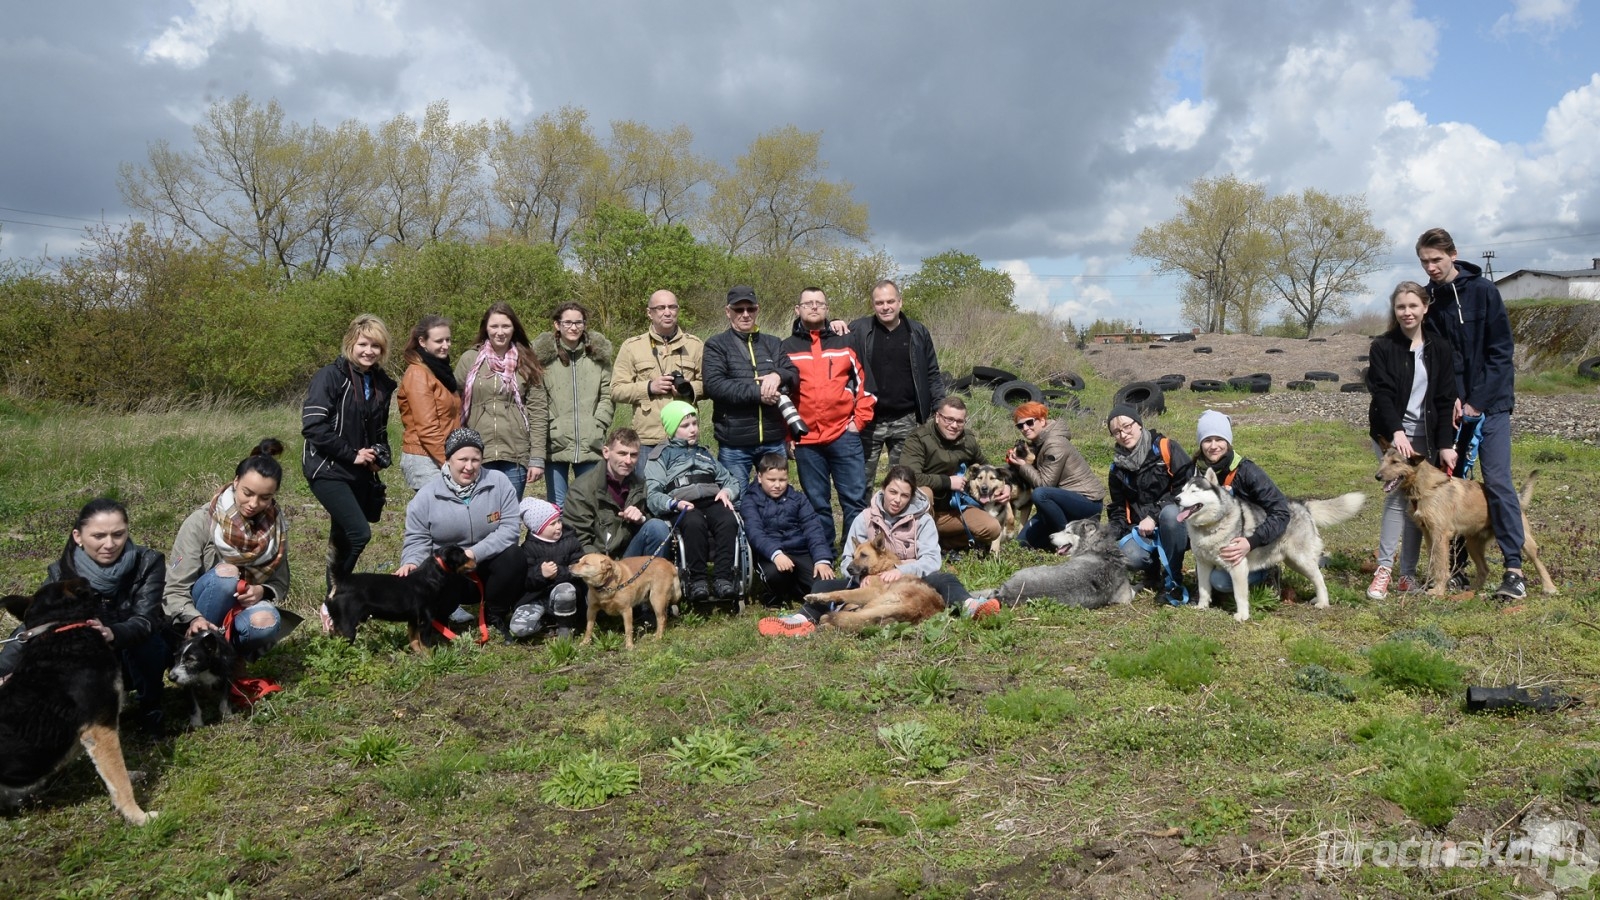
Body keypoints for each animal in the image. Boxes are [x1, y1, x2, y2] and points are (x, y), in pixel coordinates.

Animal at [806, 531, 940, 630]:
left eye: (863, 555)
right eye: (853, 556)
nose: (848, 569)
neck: (883, 567)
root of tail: (915, 609)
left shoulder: (869, 592)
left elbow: (841, 593)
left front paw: (817, 597)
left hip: (873, 603)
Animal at [966, 515, 1132, 605]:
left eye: (1068, 531)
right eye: (1064, 528)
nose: (1049, 537)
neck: (1099, 548)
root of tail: (1005, 593)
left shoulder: (1126, 596)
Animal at [1177, 464, 1363, 621]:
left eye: (1194, 491)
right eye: (1182, 490)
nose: (1176, 498)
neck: (1210, 527)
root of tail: (1302, 505)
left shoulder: (1238, 567)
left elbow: (1240, 595)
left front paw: (1243, 615)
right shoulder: (1203, 564)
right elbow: (1203, 589)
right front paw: (1202, 607)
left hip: (1301, 559)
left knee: (1319, 578)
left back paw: (1323, 602)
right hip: (1294, 561)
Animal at [1369, 445, 1555, 595]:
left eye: (1395, 462)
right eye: (1383, 461)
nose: (1377, 476)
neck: (1425, 487)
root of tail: (1516, 498)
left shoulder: (1440, 535)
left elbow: (1441, 564)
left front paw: (1437, 591)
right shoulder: (1429, 534)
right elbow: (1434, 562)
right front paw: (1432, 585)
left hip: (1524, 540)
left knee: (1538, 562)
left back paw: (1549, 587)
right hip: (1473, 545)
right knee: (1484, 569)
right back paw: (1473, 590)